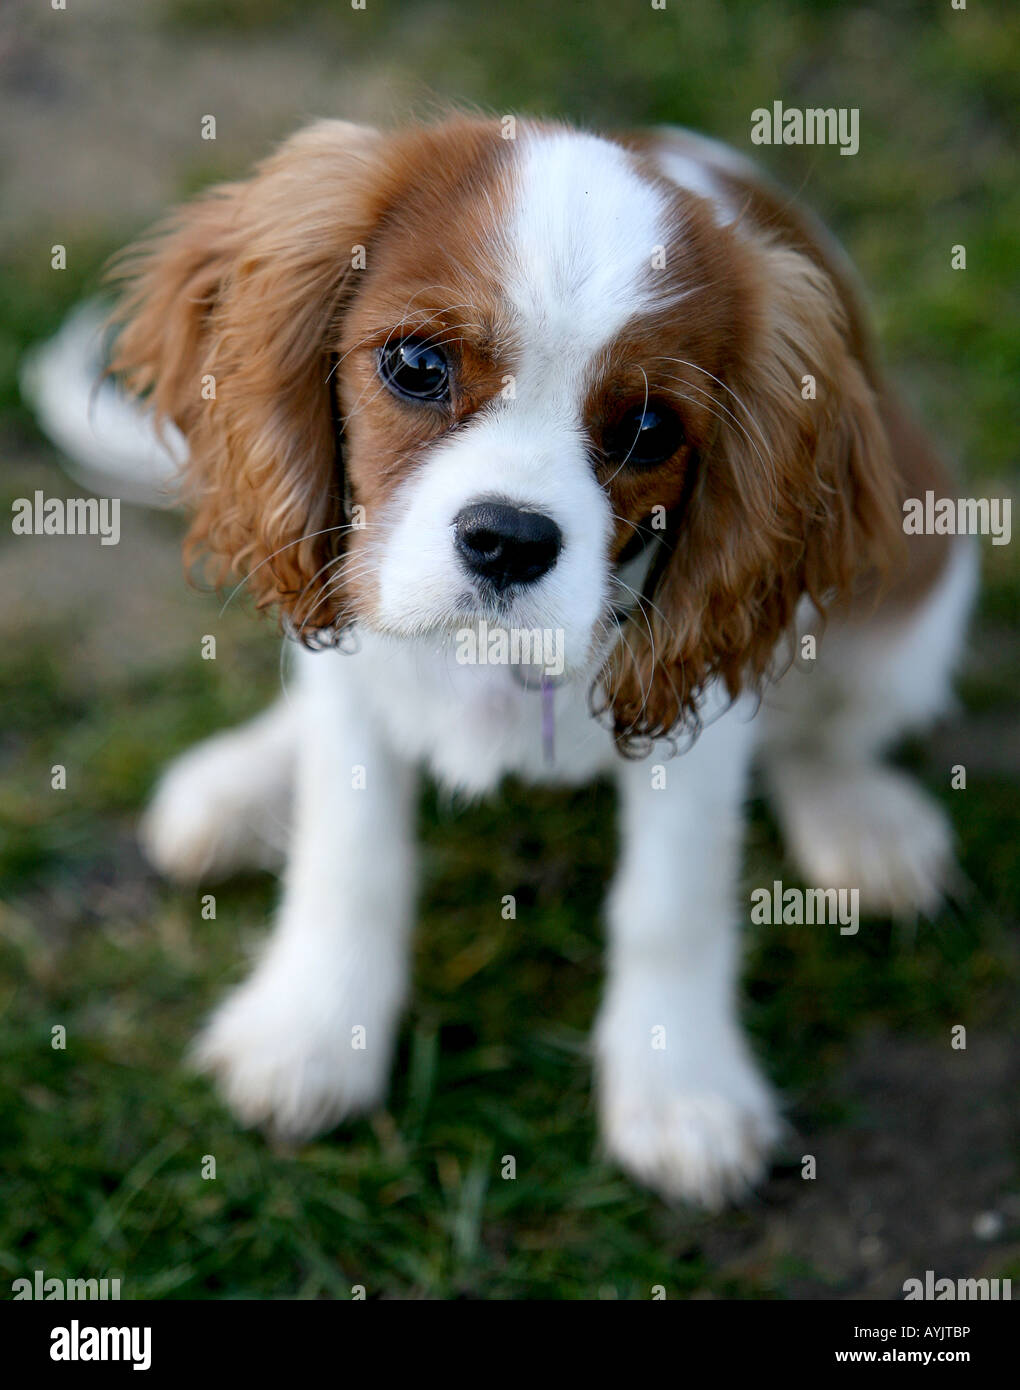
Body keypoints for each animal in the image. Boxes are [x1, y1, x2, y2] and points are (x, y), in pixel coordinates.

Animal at [42, 116, 983, 1206]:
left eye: (650, 428)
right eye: (414, 364)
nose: (509, 540)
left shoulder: (697, 716)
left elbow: (672, 900)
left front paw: (680, 1086)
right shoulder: (356, 673)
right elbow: (350, 854)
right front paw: (315, 1029)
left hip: (918, 600)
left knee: (826, 733)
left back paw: (860, 821)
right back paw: (241, 786)